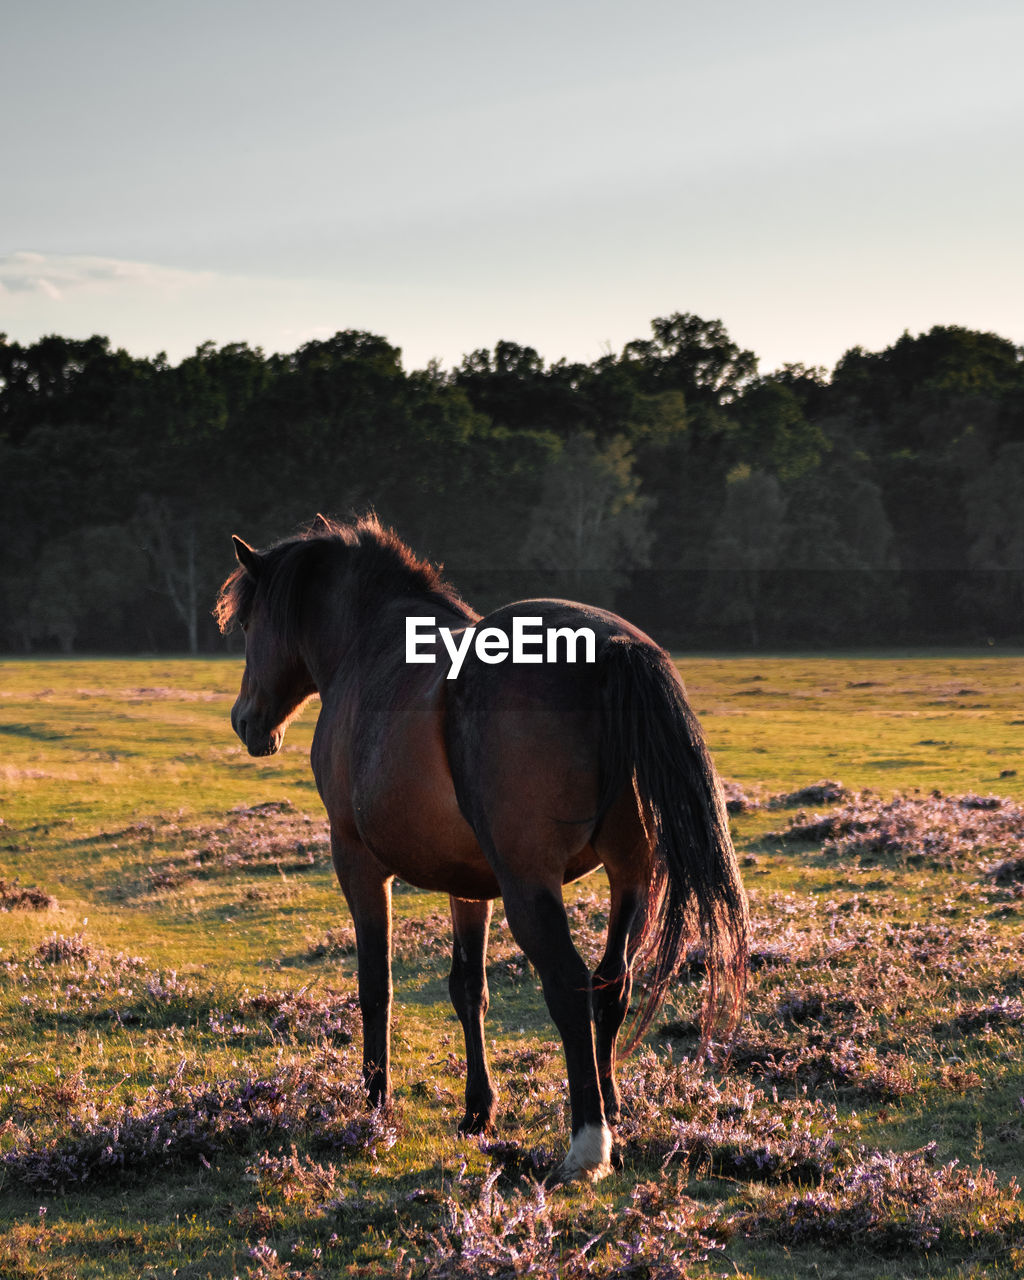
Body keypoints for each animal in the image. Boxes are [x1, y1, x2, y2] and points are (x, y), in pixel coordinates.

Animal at [213, 509, 742, 1177]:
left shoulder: (357, 862)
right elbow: (469, 990)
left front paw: (375, 1106)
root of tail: (610, 652)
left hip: (531, 886)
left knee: (569, 984)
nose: (245, 720)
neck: (368, 646)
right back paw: (612, 1107)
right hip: (632, 878)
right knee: (611, 984)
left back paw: (587, 1140)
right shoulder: (470, 885)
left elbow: (375, 986)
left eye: (249, 623)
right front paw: (476, 1111)